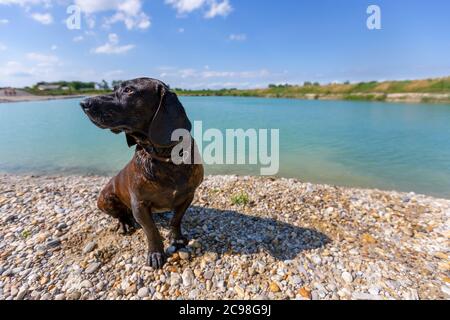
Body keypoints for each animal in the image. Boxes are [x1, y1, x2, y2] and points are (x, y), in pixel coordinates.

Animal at [81, 77, 204, 268]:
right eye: (115, 89)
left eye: (129, 90)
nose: (84, 103)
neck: (165, 157)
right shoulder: (139, 205)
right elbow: (151, 230)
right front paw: (155, 253)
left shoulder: (188, 196)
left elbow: (176, 219)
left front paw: (176, 239)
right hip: (104, 200)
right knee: (121, 214)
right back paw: (124, 223)